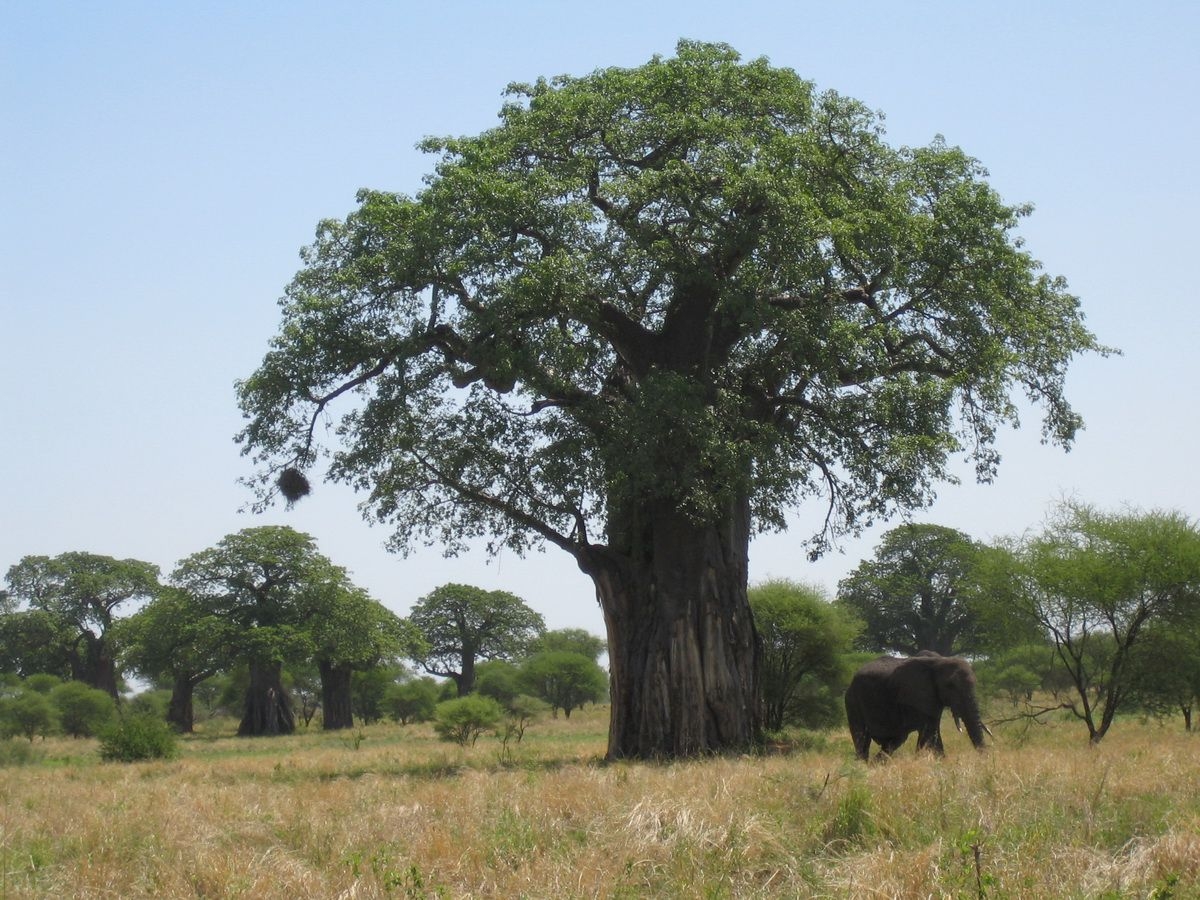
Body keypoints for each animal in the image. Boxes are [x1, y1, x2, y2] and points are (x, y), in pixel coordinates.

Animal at [844, 652, 984, 763]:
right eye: (950, 686)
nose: (984, 758)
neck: (939, 661)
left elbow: (931, 733)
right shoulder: (918, 696)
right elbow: (929, 733)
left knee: (894, 740)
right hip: (852, 701)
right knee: (862, 737)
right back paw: (863, 765)